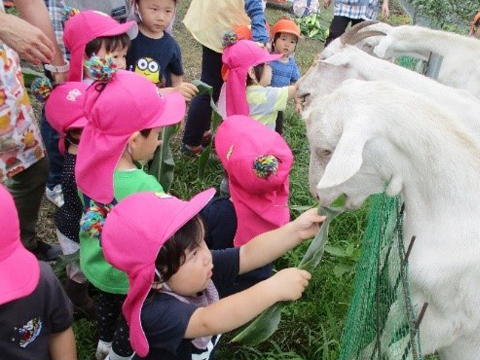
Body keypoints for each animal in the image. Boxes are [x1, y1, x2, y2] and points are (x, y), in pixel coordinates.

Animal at [304, 79, 480, 360]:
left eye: (325, 150)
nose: (316, 193)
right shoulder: (410, 292)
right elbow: (387, 328)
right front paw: (367, 353)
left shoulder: (443, 324)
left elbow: (397, 351)